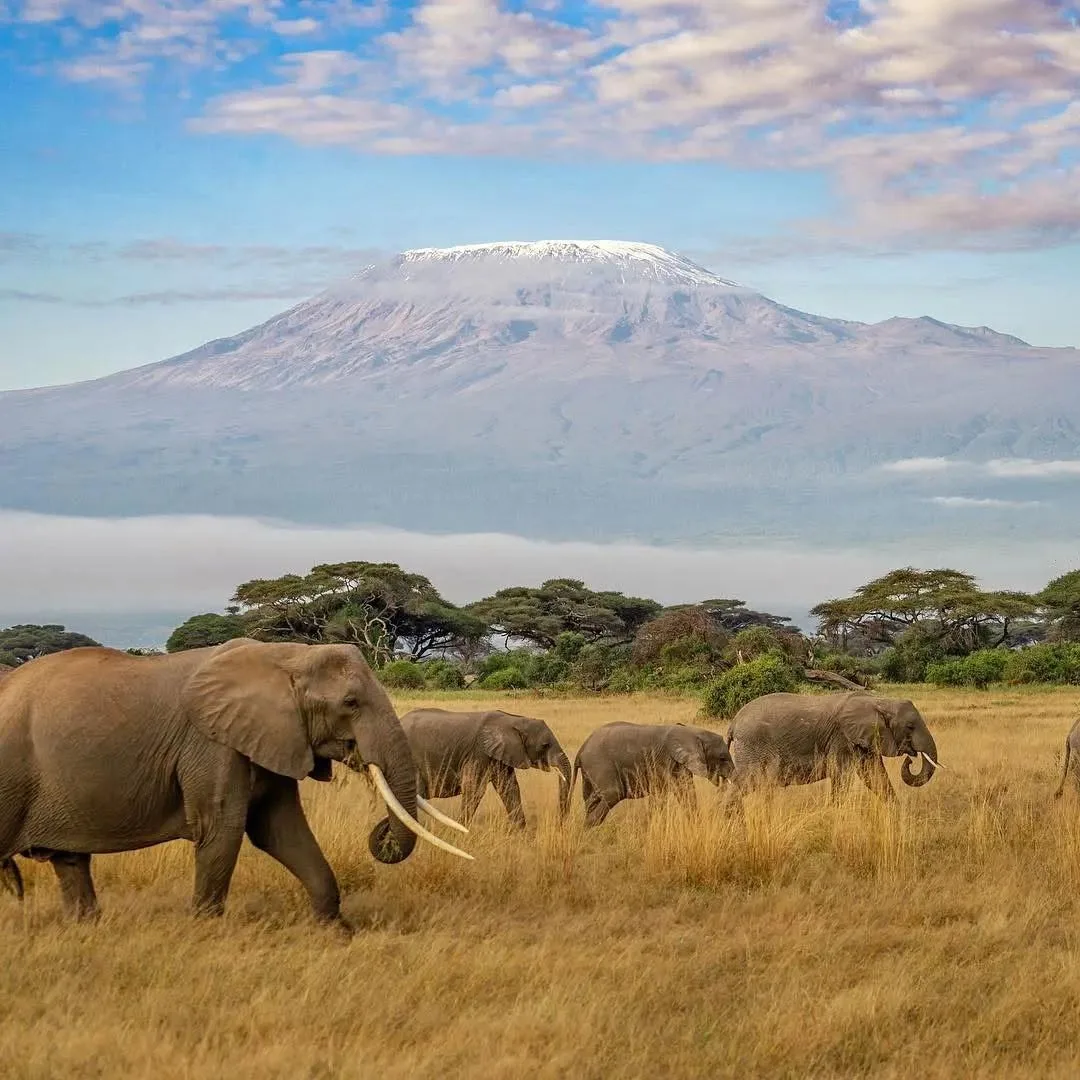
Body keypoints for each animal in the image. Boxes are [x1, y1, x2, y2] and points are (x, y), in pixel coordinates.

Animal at [0, 638, 471, 927]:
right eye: (350, 703)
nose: (380, 830)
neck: (286, 656)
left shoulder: (273, 737)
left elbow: (281, 830)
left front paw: (336, 932)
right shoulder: (211, 744)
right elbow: (222, 829)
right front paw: (204, 931)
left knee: (70, 862)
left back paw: (87, 927)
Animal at [399, 708, 572, 829]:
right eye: (545, 745)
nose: (560, 824)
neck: (515, 720)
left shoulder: (501, 754)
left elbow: (509, 788)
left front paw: (522, 832)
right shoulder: (478, 753)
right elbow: (474, 788)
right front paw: (461, 829)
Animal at [570, 721, 735, 826]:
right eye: (722, 758)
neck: (692, 732)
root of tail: (581, 749)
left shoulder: (678, 762)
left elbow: (686, 790)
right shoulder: (662, 761)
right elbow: (662, 792)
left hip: (590, 770)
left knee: (591, 798)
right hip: (599, 763)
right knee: (612, 793)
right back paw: (588, 828)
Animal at [726, 691, 940, 800]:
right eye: (910, 726)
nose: (910, 759)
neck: (879, 701)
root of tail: (734, 722)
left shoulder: (864, 741)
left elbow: (875, 775)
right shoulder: (842, 739)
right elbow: (841, 777)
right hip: (752, 747)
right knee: (744, 783)